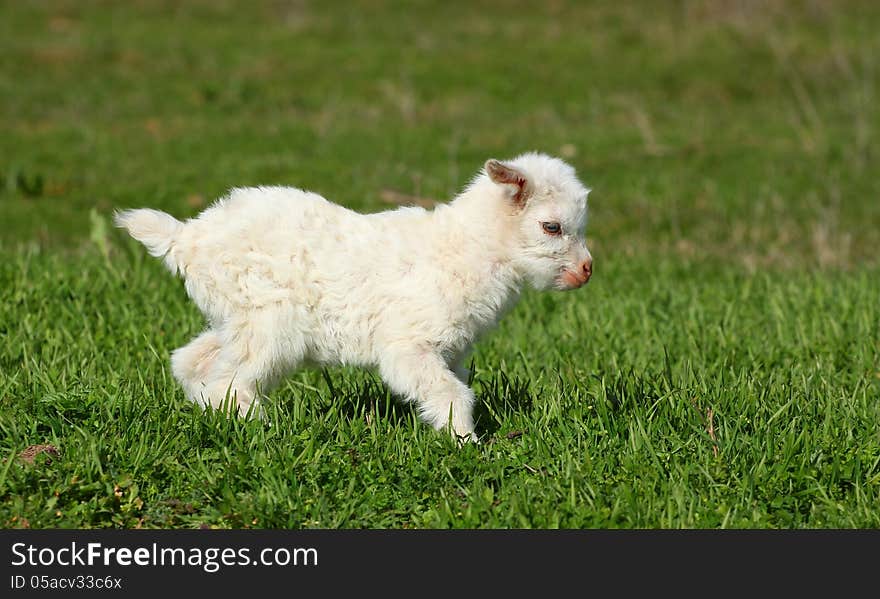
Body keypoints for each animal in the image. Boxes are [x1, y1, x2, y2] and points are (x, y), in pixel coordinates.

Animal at [115, 150, 592, 440]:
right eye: (551, 226)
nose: (586, 271)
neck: (462, 248)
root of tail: (186, 238)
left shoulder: (452, 349)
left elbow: (453, 389)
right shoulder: (408, 343)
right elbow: (452, 394)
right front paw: (465, 443)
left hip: (235, 317)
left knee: (193, 362)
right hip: (268, 319)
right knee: (226, 383)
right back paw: (264, 431)